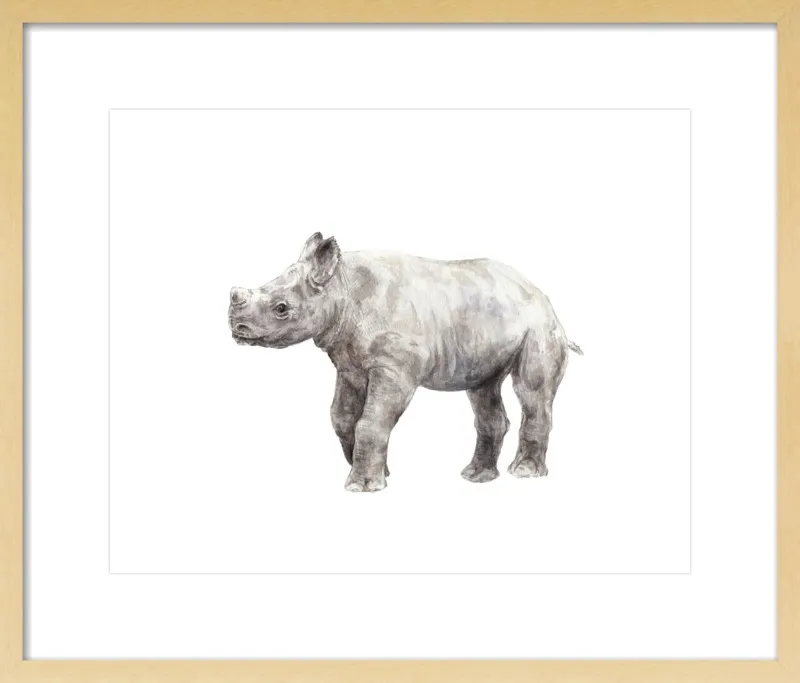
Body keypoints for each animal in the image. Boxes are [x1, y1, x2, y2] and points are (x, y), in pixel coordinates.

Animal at [229, 233, 582, 493]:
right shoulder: (349, 362)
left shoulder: (395, 365)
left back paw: (524, 474)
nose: (237, 328)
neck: (342, 287)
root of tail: (544, 299)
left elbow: (371, 420)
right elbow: (342, 416)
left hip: (540, 327)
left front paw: (362, 487)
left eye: (281, 308)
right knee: (483, 388)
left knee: (531, 392)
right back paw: (476, 477)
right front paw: (380, 472)